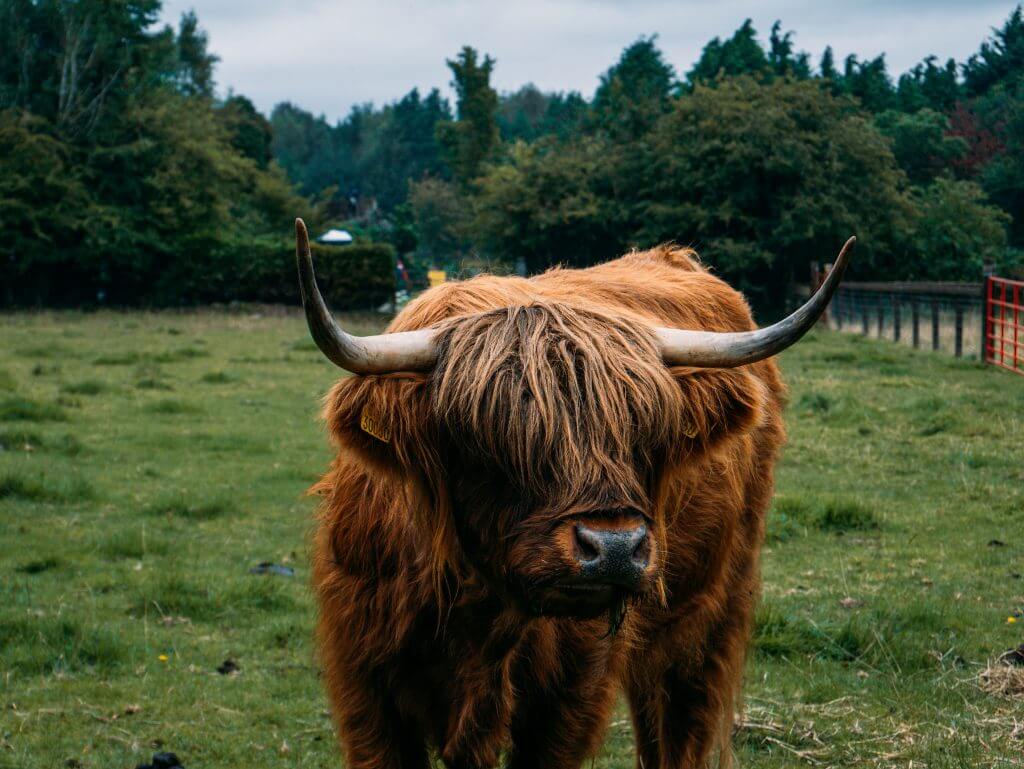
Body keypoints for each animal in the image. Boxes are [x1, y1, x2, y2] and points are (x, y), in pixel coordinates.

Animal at [298, 219, 854, 769]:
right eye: (490, 436)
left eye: (646, 435)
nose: (615, 549)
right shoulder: (365, 686)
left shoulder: (570, 691)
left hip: (709, 611)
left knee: (677, 724)